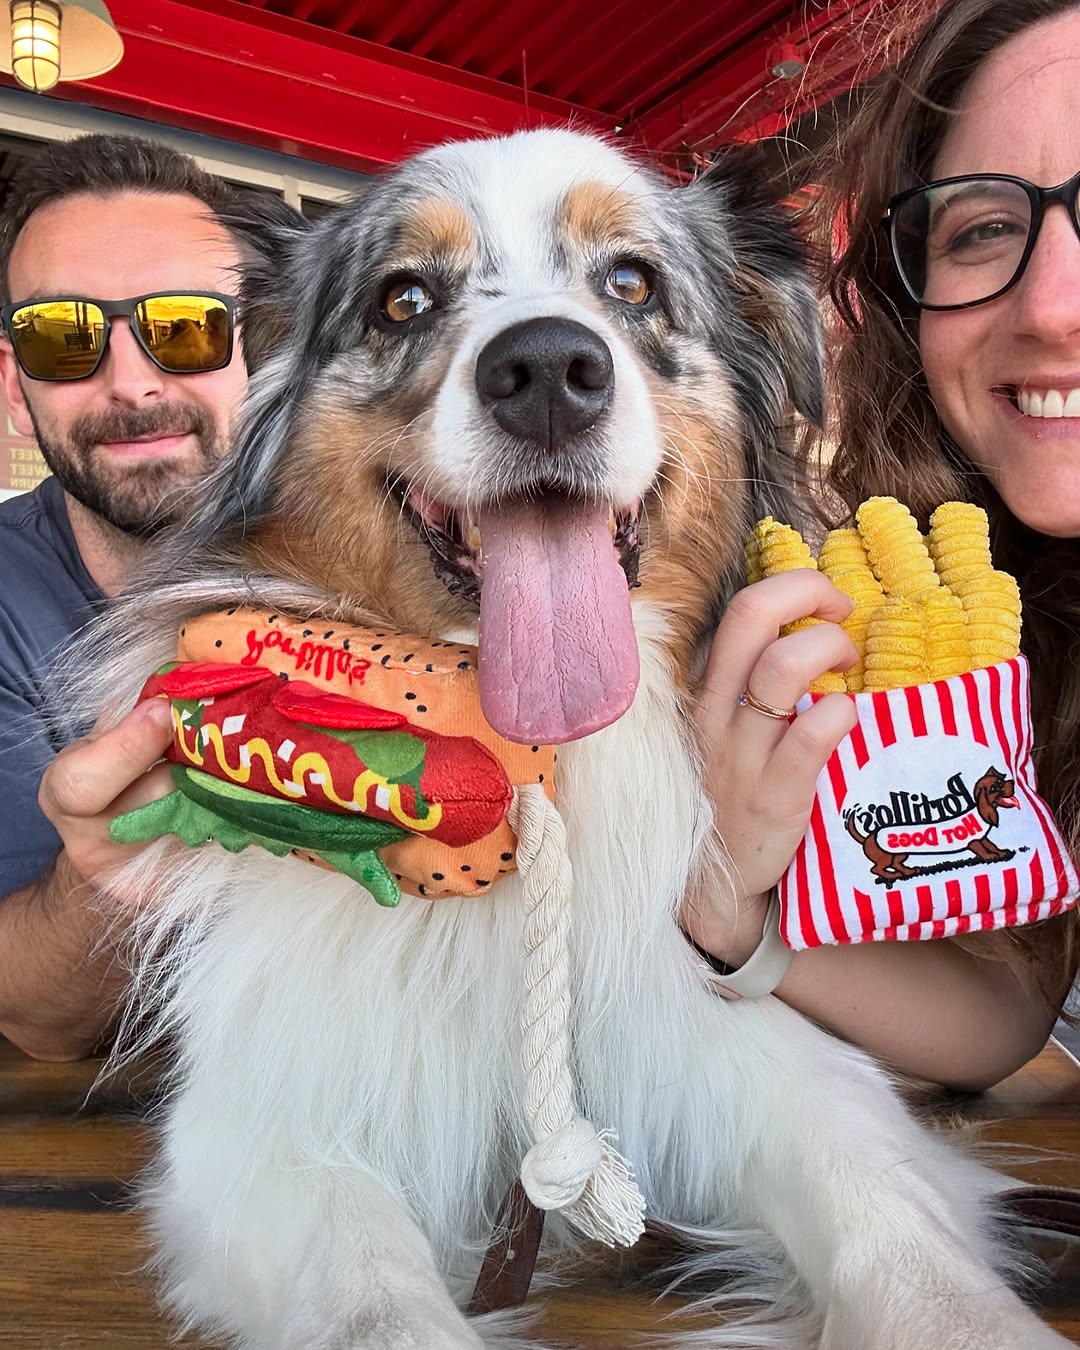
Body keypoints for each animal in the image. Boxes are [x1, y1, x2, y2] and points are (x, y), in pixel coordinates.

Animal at [77, 128, 1069, 1350]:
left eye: (631, 283)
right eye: (403, 299)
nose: (547, 370)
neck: (544, 767)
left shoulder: (762, 1057)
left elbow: (903, 1237)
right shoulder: (266, 1127)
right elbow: (371, 1299)